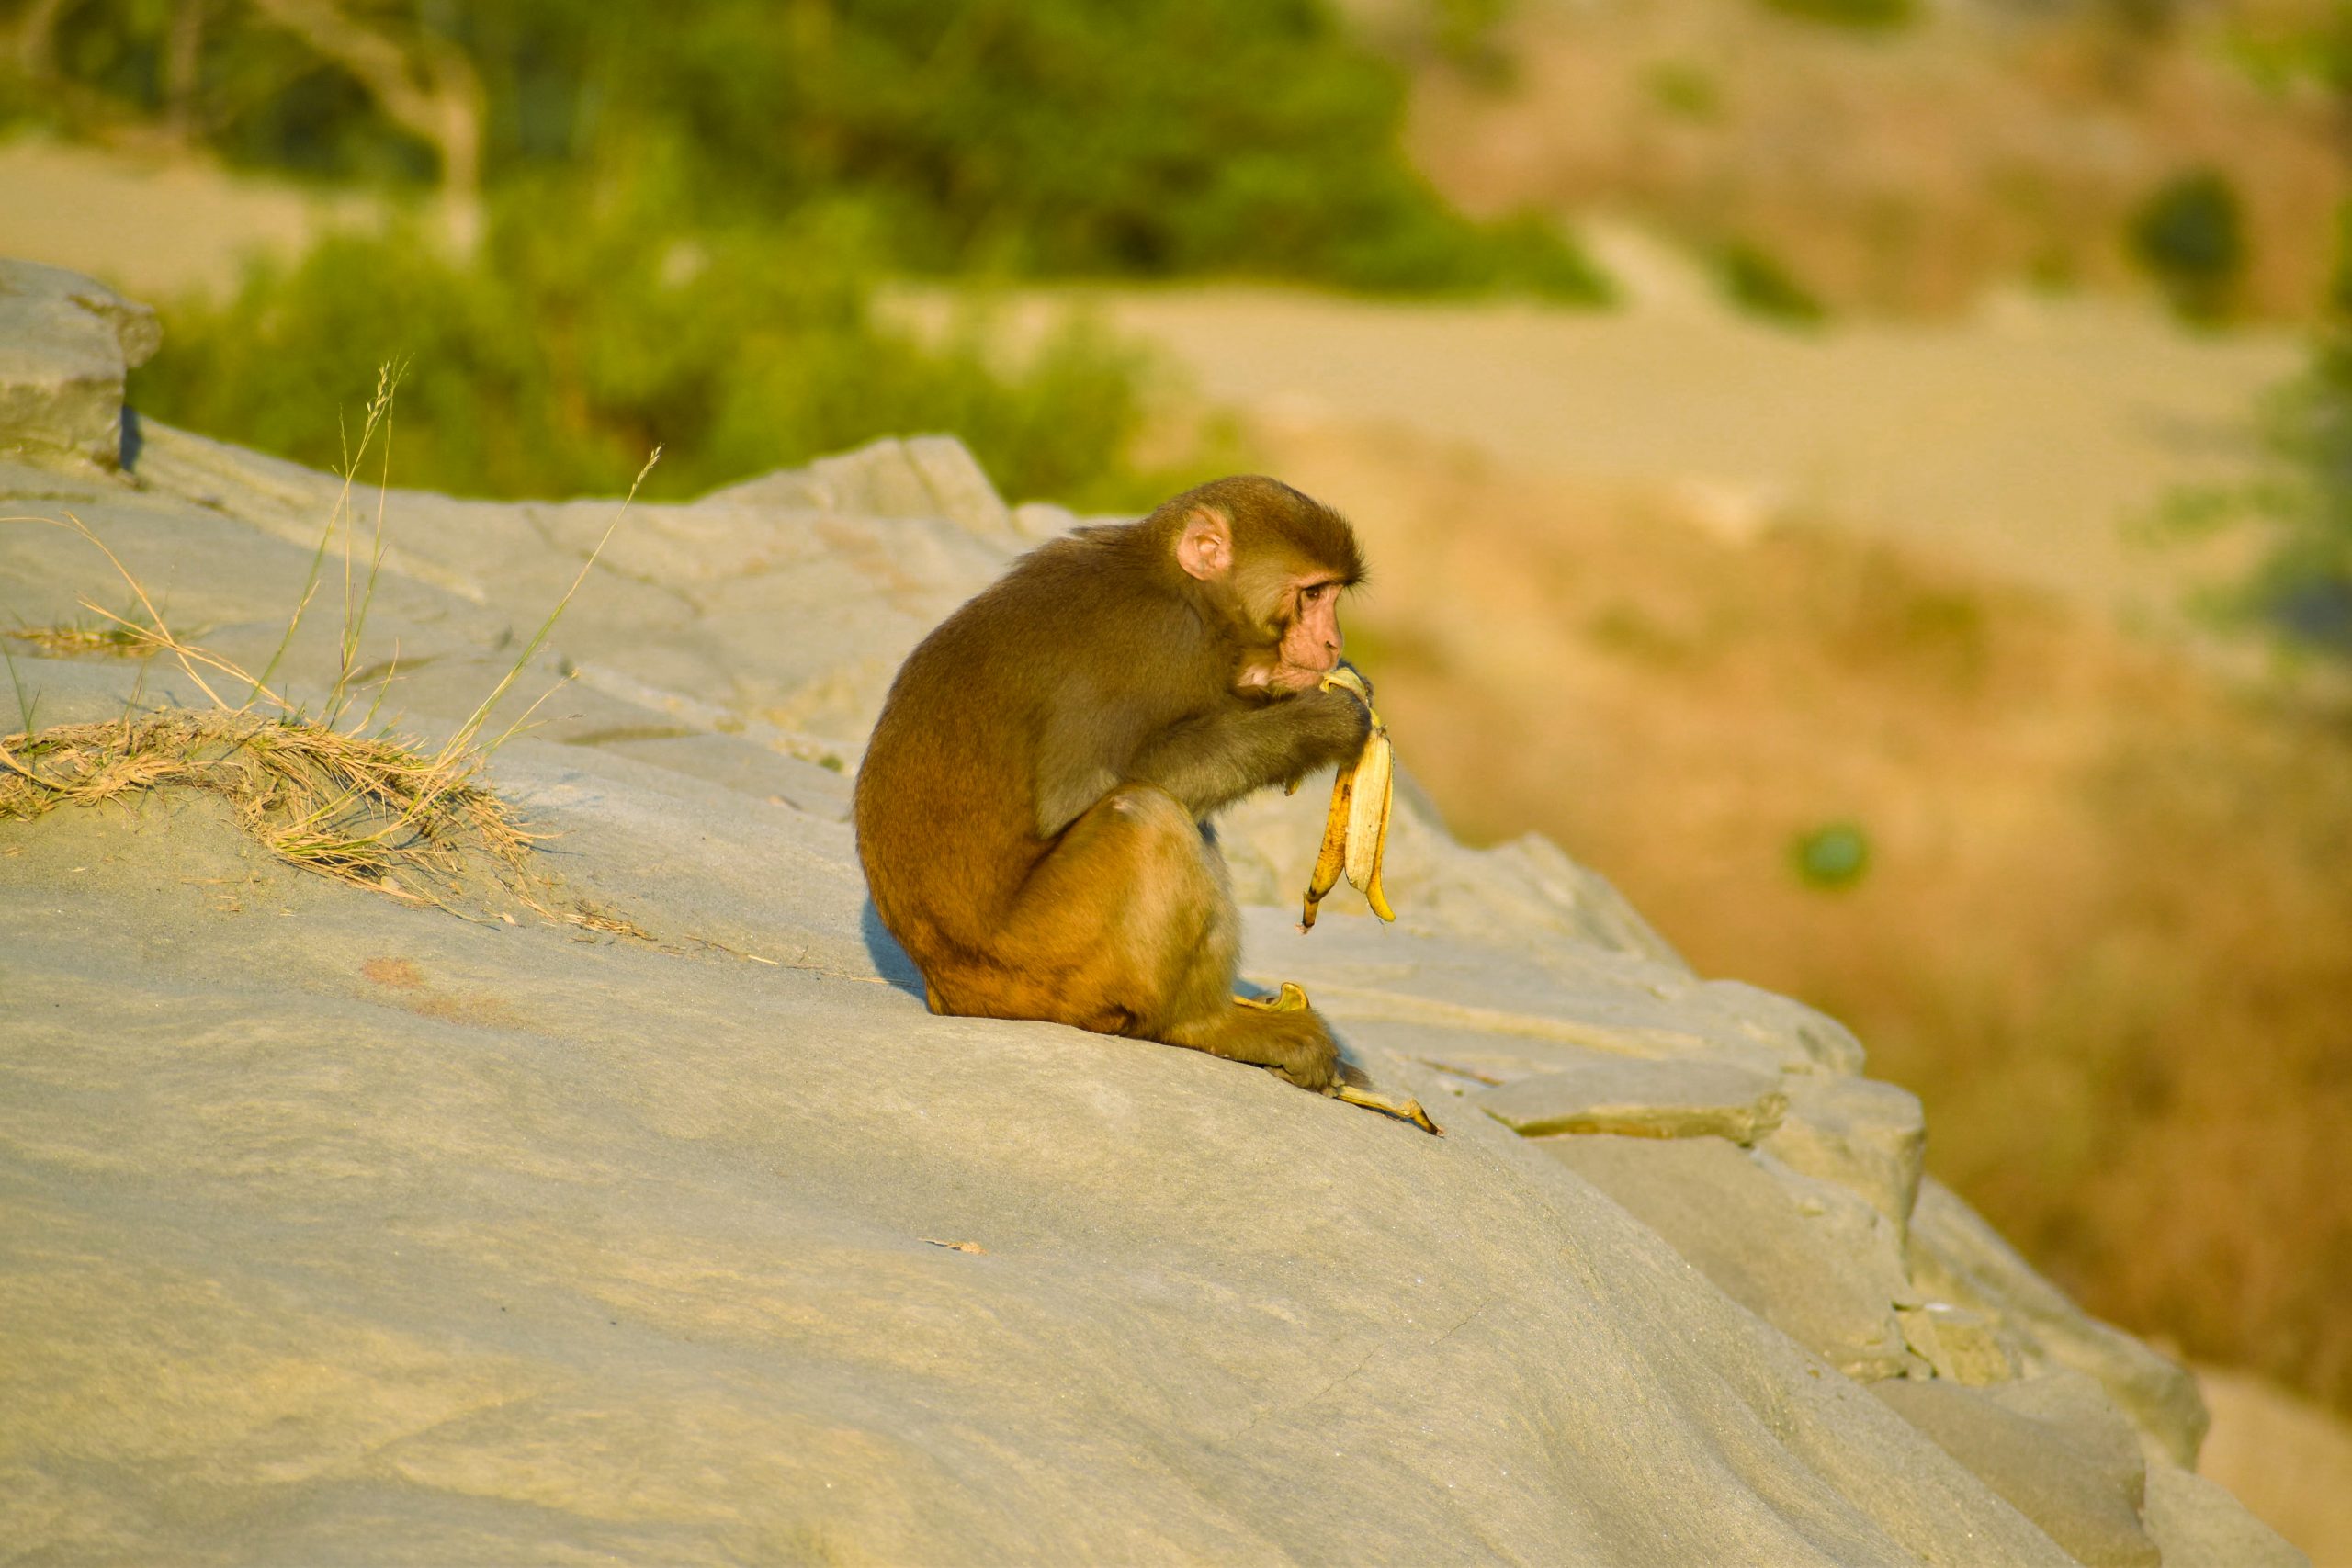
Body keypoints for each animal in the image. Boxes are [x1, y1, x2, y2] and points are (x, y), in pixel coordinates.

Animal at [860, 479, 1374, 1090]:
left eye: (1335, 594)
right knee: (1144, 813)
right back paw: (1203, 1025)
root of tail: (943, 991)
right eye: (1312, 593)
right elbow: (1077, 795)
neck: (1181, 588)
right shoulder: (1154, 637)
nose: (1333, 642)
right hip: (1043, 966)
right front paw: (1320, 721)